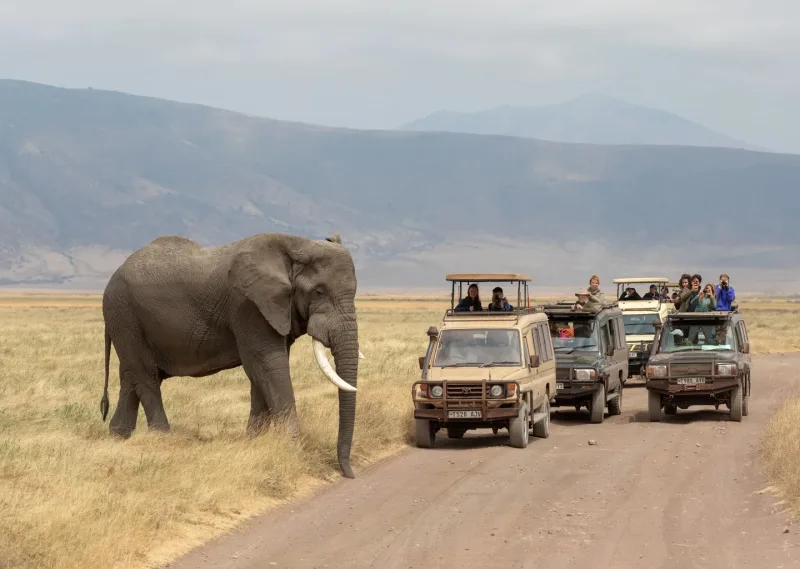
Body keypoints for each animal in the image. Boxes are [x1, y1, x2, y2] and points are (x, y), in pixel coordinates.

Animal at [99, 231, 363, 478]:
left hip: (128, 322)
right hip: (124, 315)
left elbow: (263, 372)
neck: (297, 244)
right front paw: (291, 448)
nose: (348, 473)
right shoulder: (248, 306)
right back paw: (163, 438)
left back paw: (118, 435)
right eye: (318, 292)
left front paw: (254, 441)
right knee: (146, 375)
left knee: (131, 376)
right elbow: (268, 364)